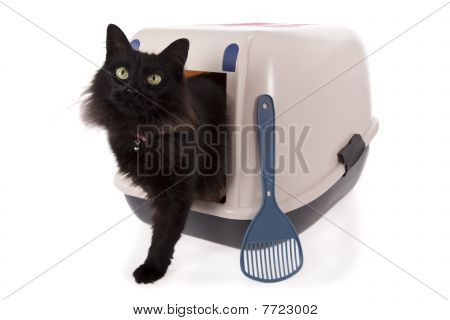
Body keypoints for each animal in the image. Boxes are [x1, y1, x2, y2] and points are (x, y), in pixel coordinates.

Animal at [81, 25, 225, 284]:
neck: (142, 132)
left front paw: (152, 268)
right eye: (122, 72)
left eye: (154, 79)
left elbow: (164, 233)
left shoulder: (176, 191)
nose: (131, 90)